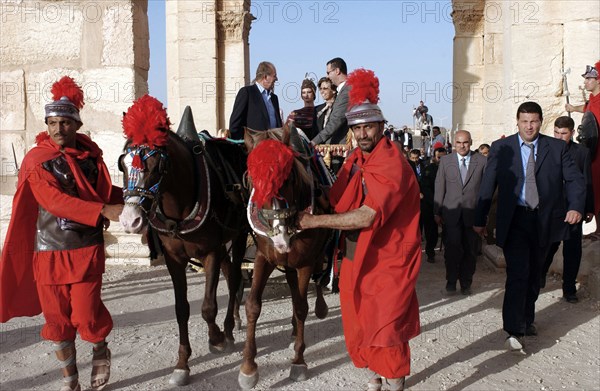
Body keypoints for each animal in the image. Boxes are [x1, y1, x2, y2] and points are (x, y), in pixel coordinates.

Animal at [118, 106, 247, 386]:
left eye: (157, 165)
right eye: (122, 163)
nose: (130, 220)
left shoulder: (210, 252)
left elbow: (208, 307)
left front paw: (217, 338)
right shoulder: (174, 258)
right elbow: (181, 309)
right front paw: (182, 364)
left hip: (240, 235)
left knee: (235, 280)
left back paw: (229, 328)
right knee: (232, 274)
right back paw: (234, 322)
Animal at [239, 127, 332, 390]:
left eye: (288, 178)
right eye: (252, 179)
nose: (280, 237)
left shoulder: (305, 263)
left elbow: (302, 307)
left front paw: (299, 361)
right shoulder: (264, 257)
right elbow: (252, 305)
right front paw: (248, 367)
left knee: (318, 281)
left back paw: (319, 308)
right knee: (292, 288)